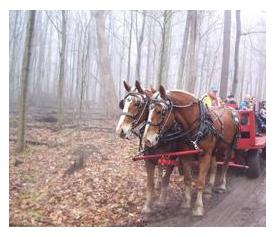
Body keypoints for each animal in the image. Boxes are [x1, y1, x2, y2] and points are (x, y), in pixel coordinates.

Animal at [115, 80, 191, 214]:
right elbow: (150, 183)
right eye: (123, 103)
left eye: (137, 104)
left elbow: (166, 180)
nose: (120, 130)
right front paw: (147, 206)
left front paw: (161, 202)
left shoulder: (172, 159)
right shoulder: (148, 159)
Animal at [143, 85, 240, 217]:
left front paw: (198, 207)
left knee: (225, 165)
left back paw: (222, 186)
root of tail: (230, 109)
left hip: (229, 148)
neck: (197, 125)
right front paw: (186, 203)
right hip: (214, 151)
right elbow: (188, 180)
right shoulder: (186, 156)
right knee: (214, 166)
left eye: (161, 111)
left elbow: (200, 182)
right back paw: (209, 189)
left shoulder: (205, 155)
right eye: (148, 109)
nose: (147, 139)